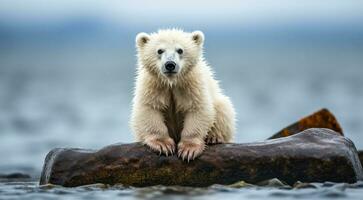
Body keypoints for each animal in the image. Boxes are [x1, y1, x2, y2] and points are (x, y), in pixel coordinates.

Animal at [131, 29, 236, 161]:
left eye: (180, 50)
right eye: (160, 50)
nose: (170, 64)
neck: (172, 82)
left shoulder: (192, 84)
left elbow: (197, 108)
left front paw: (189, 149)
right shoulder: (153, 84)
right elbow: (150, 107)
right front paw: (163, 145)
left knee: (223, 107)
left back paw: (214, 137)